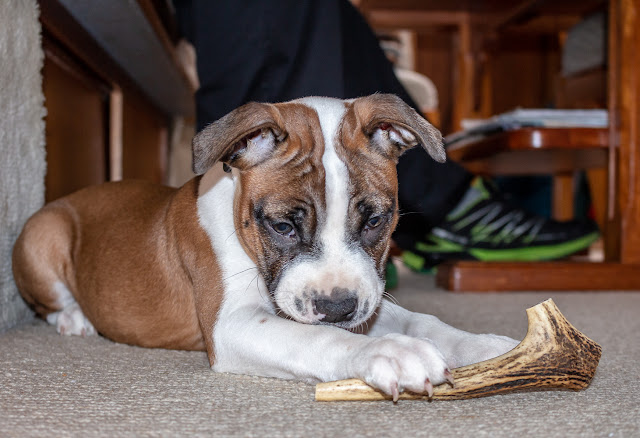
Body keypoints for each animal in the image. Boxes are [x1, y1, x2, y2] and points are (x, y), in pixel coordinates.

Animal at [12, 96, 516, 400]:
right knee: (48, 301)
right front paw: (389, 353)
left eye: (375, 220)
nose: (337, 307)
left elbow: (422, 320)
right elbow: (318, 337)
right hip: (43, 236)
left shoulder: (368, 299)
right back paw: (75, 318)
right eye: (282, 226)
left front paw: (486, 346)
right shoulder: (231, 326)